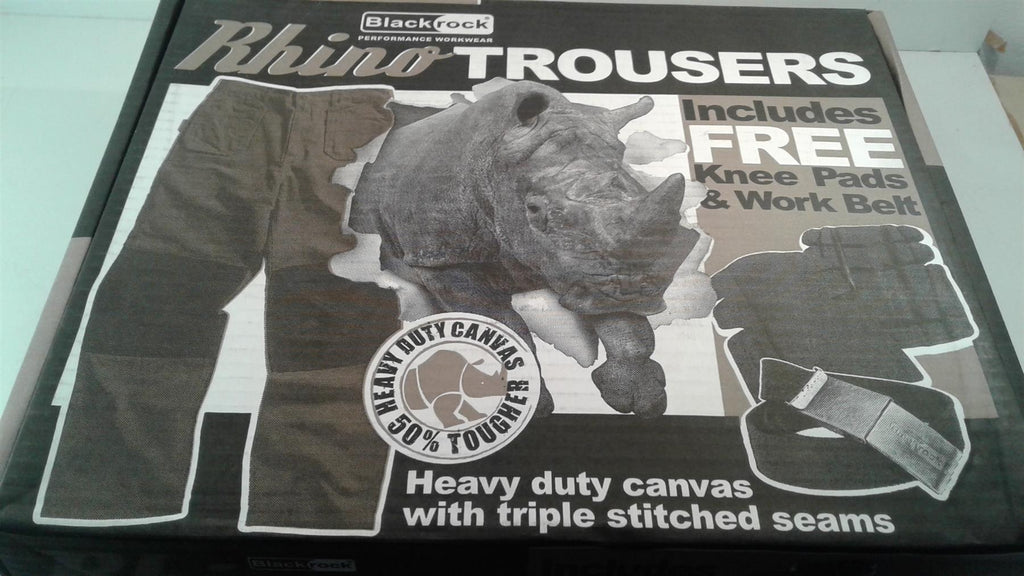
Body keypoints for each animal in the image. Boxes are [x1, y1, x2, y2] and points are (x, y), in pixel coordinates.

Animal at [350, 80, 700, 418]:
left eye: (639, 191)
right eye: (533, 210)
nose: (631, 292)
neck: (494, 160)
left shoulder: (590, 265)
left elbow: (629, 328)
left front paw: (641, 399)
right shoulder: (440, 255)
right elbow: (502, 325)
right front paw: (525, 404)